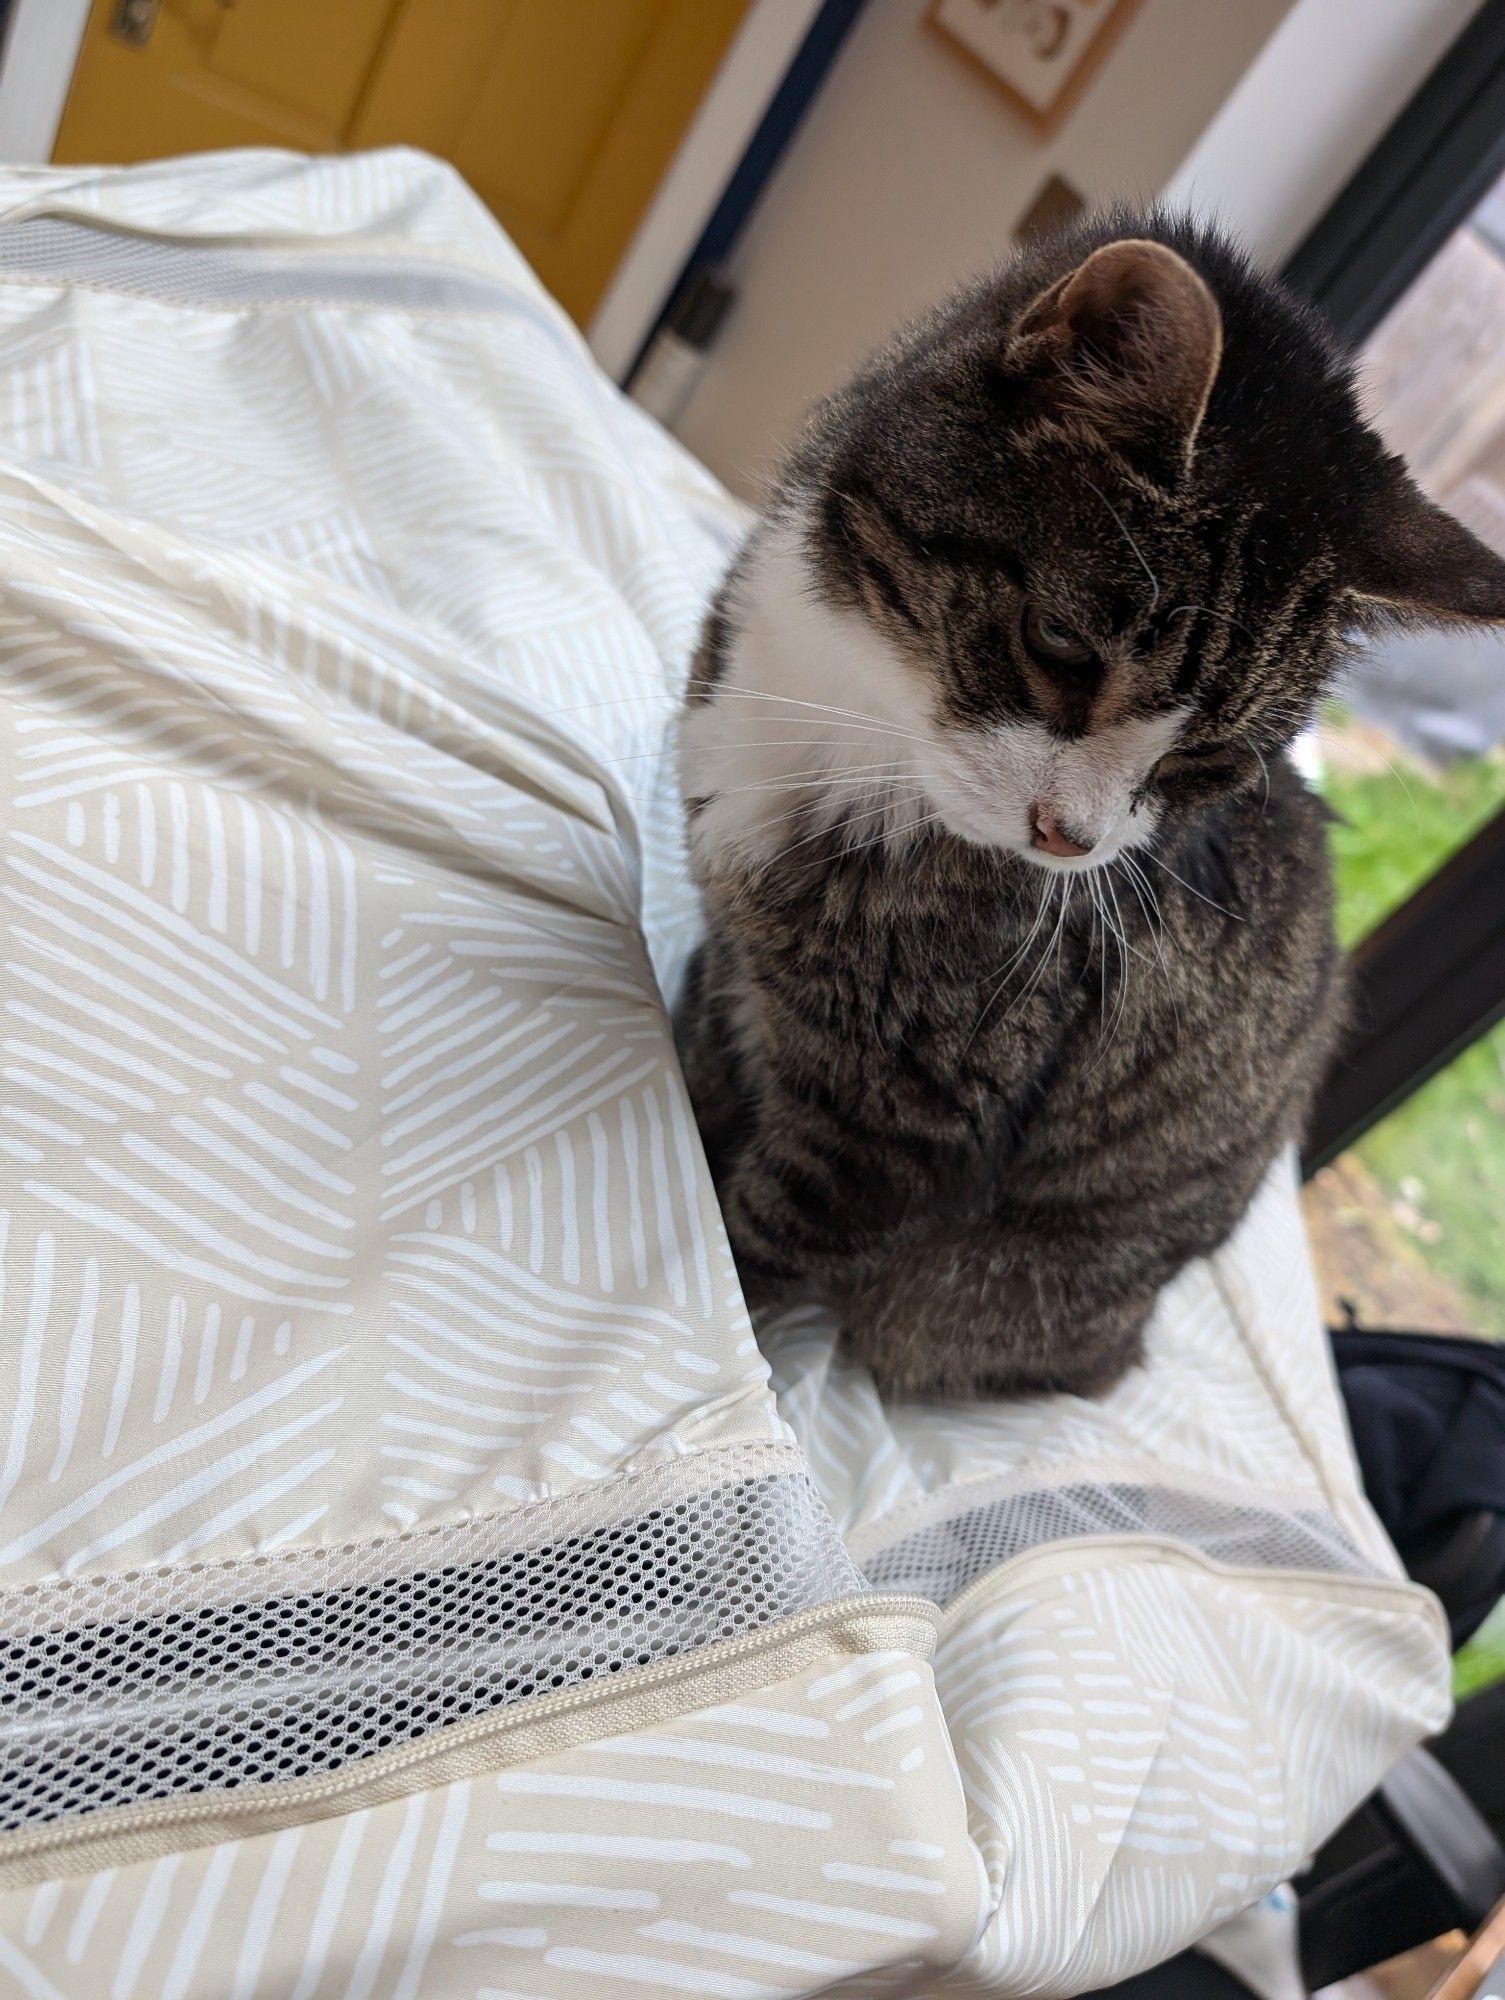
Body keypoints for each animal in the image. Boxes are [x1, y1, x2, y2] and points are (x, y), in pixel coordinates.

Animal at [680, 219, 1505, 1400]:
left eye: (1209, 760)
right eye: (1061, 646)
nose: (1068, 837)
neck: (855, 720)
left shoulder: (901, 1125)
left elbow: (756, 1241)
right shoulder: (727, 973)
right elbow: (698, 1090)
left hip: (970, 1294)